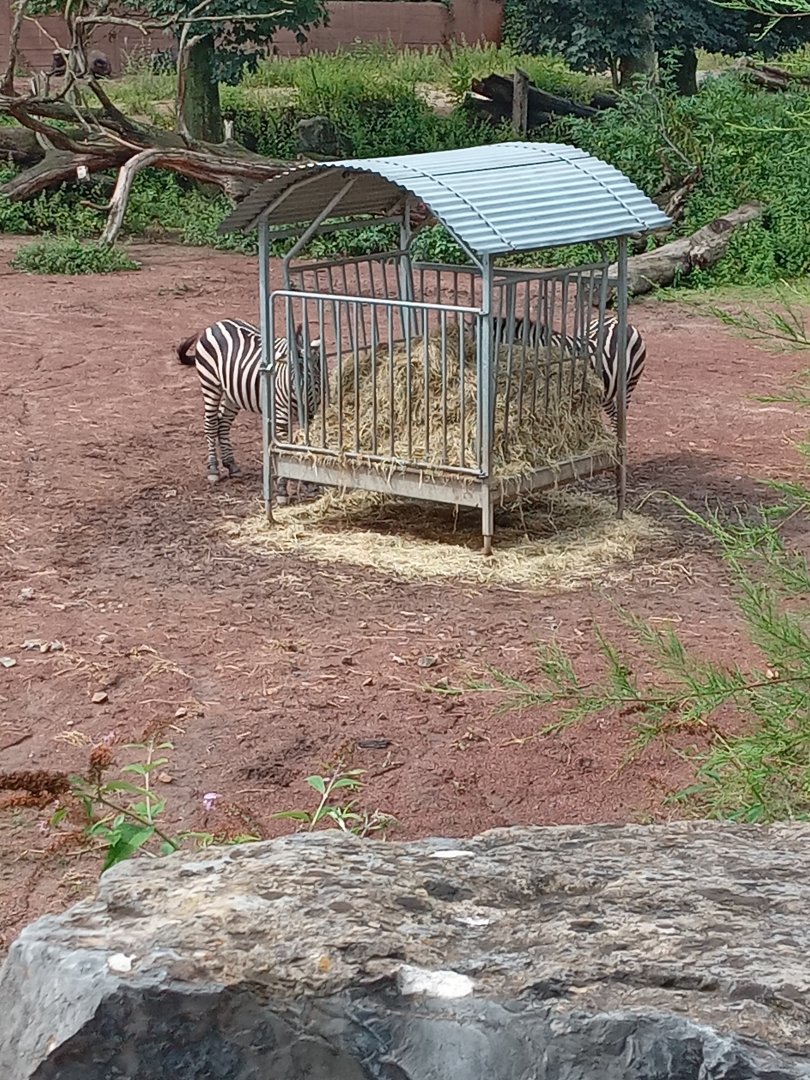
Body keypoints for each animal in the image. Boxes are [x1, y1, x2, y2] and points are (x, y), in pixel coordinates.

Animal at [177, 317, 324, 502]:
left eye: (314, 376)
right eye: (289, 374)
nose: (301, 403)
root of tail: (217, 324)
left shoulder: (309, 417)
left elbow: (304, 448)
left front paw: (308, 482)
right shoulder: (281, 417)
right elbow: (284, 451)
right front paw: (282, 490)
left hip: (233, 393)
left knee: (223, 423)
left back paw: (231, 465)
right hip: (210, 384)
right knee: (210, 424)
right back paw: (213, 469)